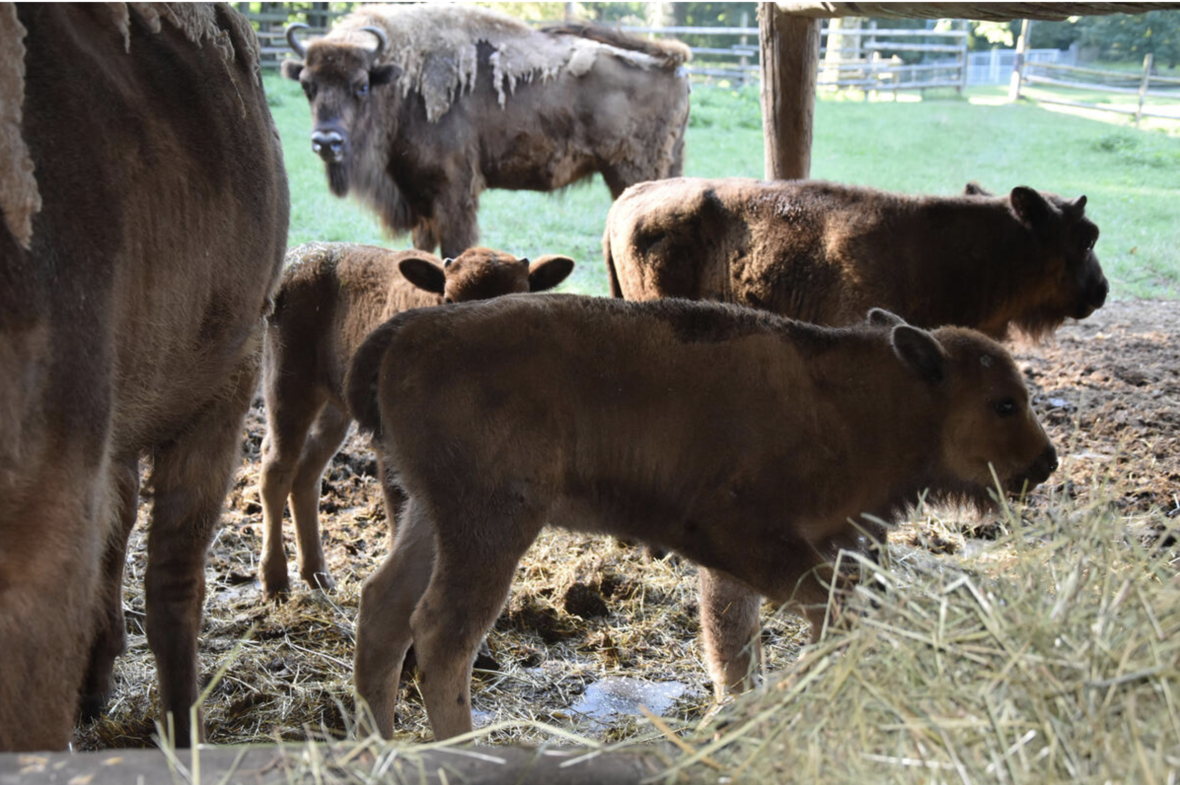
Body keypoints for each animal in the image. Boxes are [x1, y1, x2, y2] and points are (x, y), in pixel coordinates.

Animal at [260, 241, 573, 597]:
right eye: (449, 299)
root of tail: (298, 257)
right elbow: (401, 515)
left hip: (333, 408)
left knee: (307, 474)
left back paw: (318, 576)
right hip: (288, 386)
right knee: (277, 467)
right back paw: (275, 580)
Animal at [282, 6, 689, 257]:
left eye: (361, 86)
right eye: (307, 85)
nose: (327, 142)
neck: (401, 84)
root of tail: (674, 65)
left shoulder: (454, 193)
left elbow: (454, 252)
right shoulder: (420, 199)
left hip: (629, 173)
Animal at [344, 295, 1057, 741]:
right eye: (1003, 403)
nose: (1046, 462)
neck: (870, 400)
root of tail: (407, 333)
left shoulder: (756, 561)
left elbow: (737, 640)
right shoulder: (747, 539)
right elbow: (815, 613)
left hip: (432, 516)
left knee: (384, 608)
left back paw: (378, 747)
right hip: (492, 525)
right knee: (443, 632)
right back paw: (459, 750)